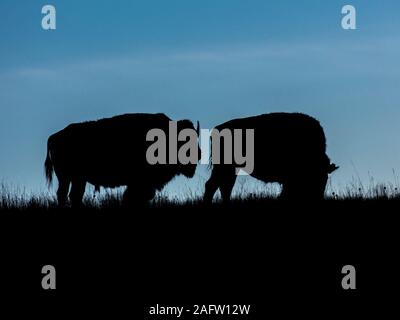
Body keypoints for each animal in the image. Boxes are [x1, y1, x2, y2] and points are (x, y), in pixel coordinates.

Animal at [45, 114, 200, 206]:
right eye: (185, 141)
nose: (198, 154)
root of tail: (54, 136)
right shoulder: (140, 182)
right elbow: (133, 197)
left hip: (77, 179)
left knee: (73, 195)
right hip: (67, 177)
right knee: (64, 194)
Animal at [203, 112, 338, 202]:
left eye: (325, 179)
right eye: (318, 178)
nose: (317, 197)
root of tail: (217, 129)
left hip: (230, 168)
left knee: (224, 186)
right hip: (224, 167)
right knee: (213, 185)